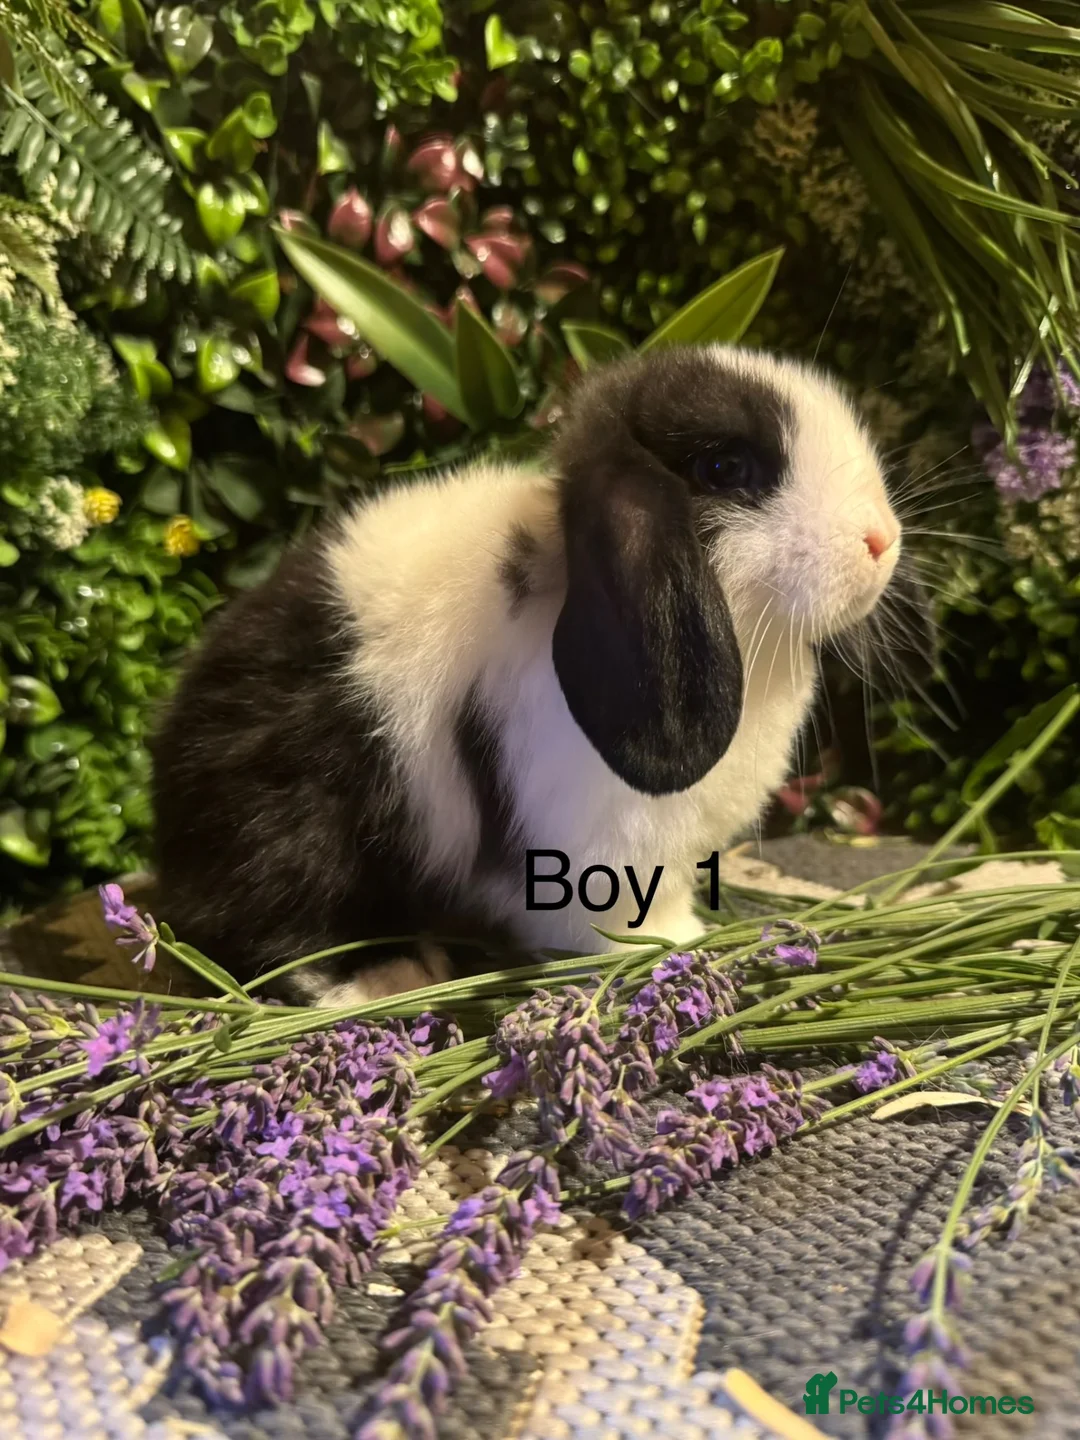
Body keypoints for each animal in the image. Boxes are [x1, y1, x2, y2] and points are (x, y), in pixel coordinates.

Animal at [150, 343, 929, 1006]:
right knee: (273, 927)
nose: (881, 541)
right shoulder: (595, 844)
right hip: (290, 824)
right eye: (725, 471)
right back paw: (386, 976)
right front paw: (677, 948)